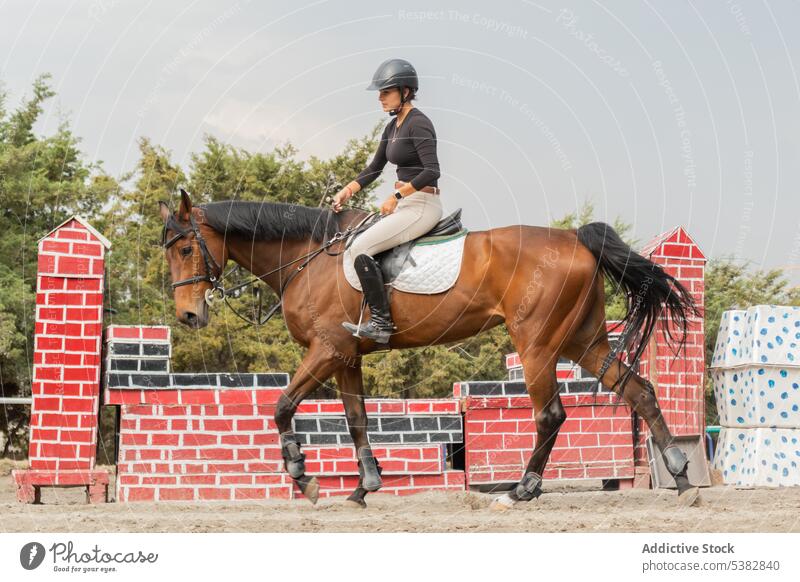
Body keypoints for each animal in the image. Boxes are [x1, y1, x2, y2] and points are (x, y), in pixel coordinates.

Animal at [159, 192, 704, 512]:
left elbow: (282, 406)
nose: (188, 316)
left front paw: (304, 479)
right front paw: (363, 488)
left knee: (550, 413)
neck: (307, 258)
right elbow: (356, 419)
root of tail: (576, 238)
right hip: (582, 341)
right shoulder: (347, 355)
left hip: (536, 344)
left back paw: (521, 490)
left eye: (185, 249)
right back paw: (680, 477)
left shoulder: (327, 350)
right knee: (639, 390)